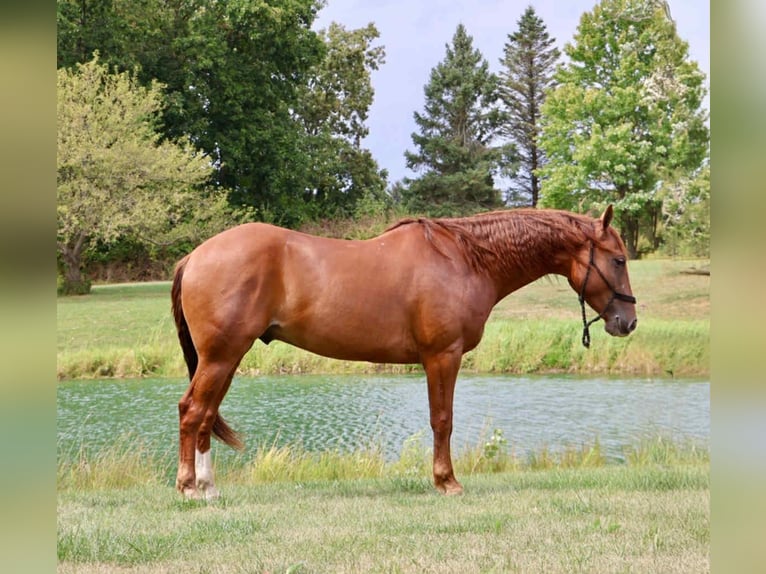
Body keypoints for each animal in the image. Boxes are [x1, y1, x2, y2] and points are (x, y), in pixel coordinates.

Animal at [171, 205, 637, 499]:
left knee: (206, 415)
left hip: (226, 358)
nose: (627, 321)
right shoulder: (443, 356)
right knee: (193, 411)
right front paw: (447, 482)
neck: (465, 259)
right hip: (222, 356)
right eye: (617, 259)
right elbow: (442, 420)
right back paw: (190, 487)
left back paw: (209, 487)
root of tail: (195, 256)